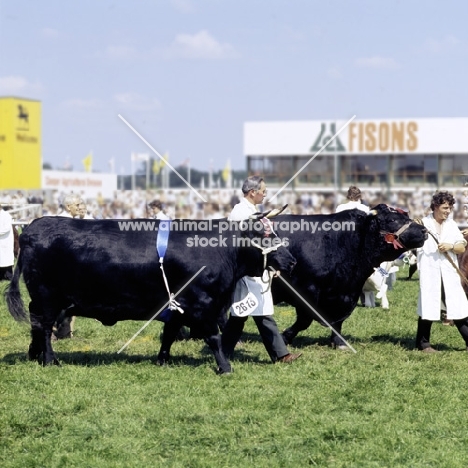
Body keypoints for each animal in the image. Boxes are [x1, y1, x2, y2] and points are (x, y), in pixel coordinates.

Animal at [3, 216, 294, 372]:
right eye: (264, 236)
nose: (291, 260)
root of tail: (32, 228)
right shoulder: (202, 304)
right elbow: (213, 337)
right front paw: (225, 367)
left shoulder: (178, 304)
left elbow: (169, 333)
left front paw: (162, 359)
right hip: (47, 297)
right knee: (43, 326)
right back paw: (49, 359)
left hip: (44, 299)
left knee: (35, 323)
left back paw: (34, 354)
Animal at [270, 205, 428, 348]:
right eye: (392, 220)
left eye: (406, 217)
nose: (424, 230)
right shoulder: (307, 289)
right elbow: (304, 320)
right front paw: (285, 337)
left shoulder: (348, 294)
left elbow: (338, 322)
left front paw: (339, 342)